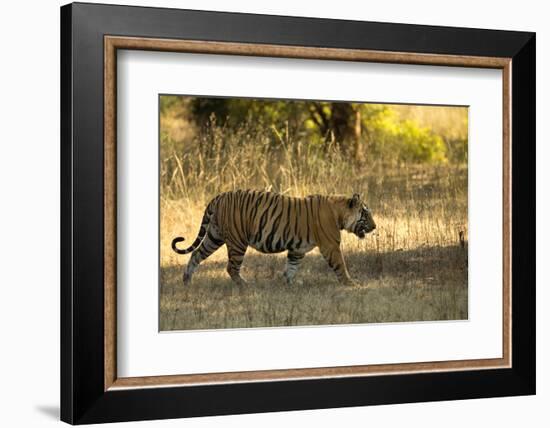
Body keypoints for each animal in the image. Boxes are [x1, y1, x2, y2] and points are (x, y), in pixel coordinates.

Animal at [172, 190, 378, 284]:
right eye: (366, 214)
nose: (375, 226)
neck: (339, 213)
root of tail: (218, 197)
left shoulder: (297, 249)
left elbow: (292, 266)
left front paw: (289, 282)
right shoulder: (331, 246)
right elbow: (341, 265)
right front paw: (351, 284)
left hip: (214, 237)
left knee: (196, 254)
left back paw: (187, 281)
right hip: (237, 241)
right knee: (231, 267)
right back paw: (245, 285)